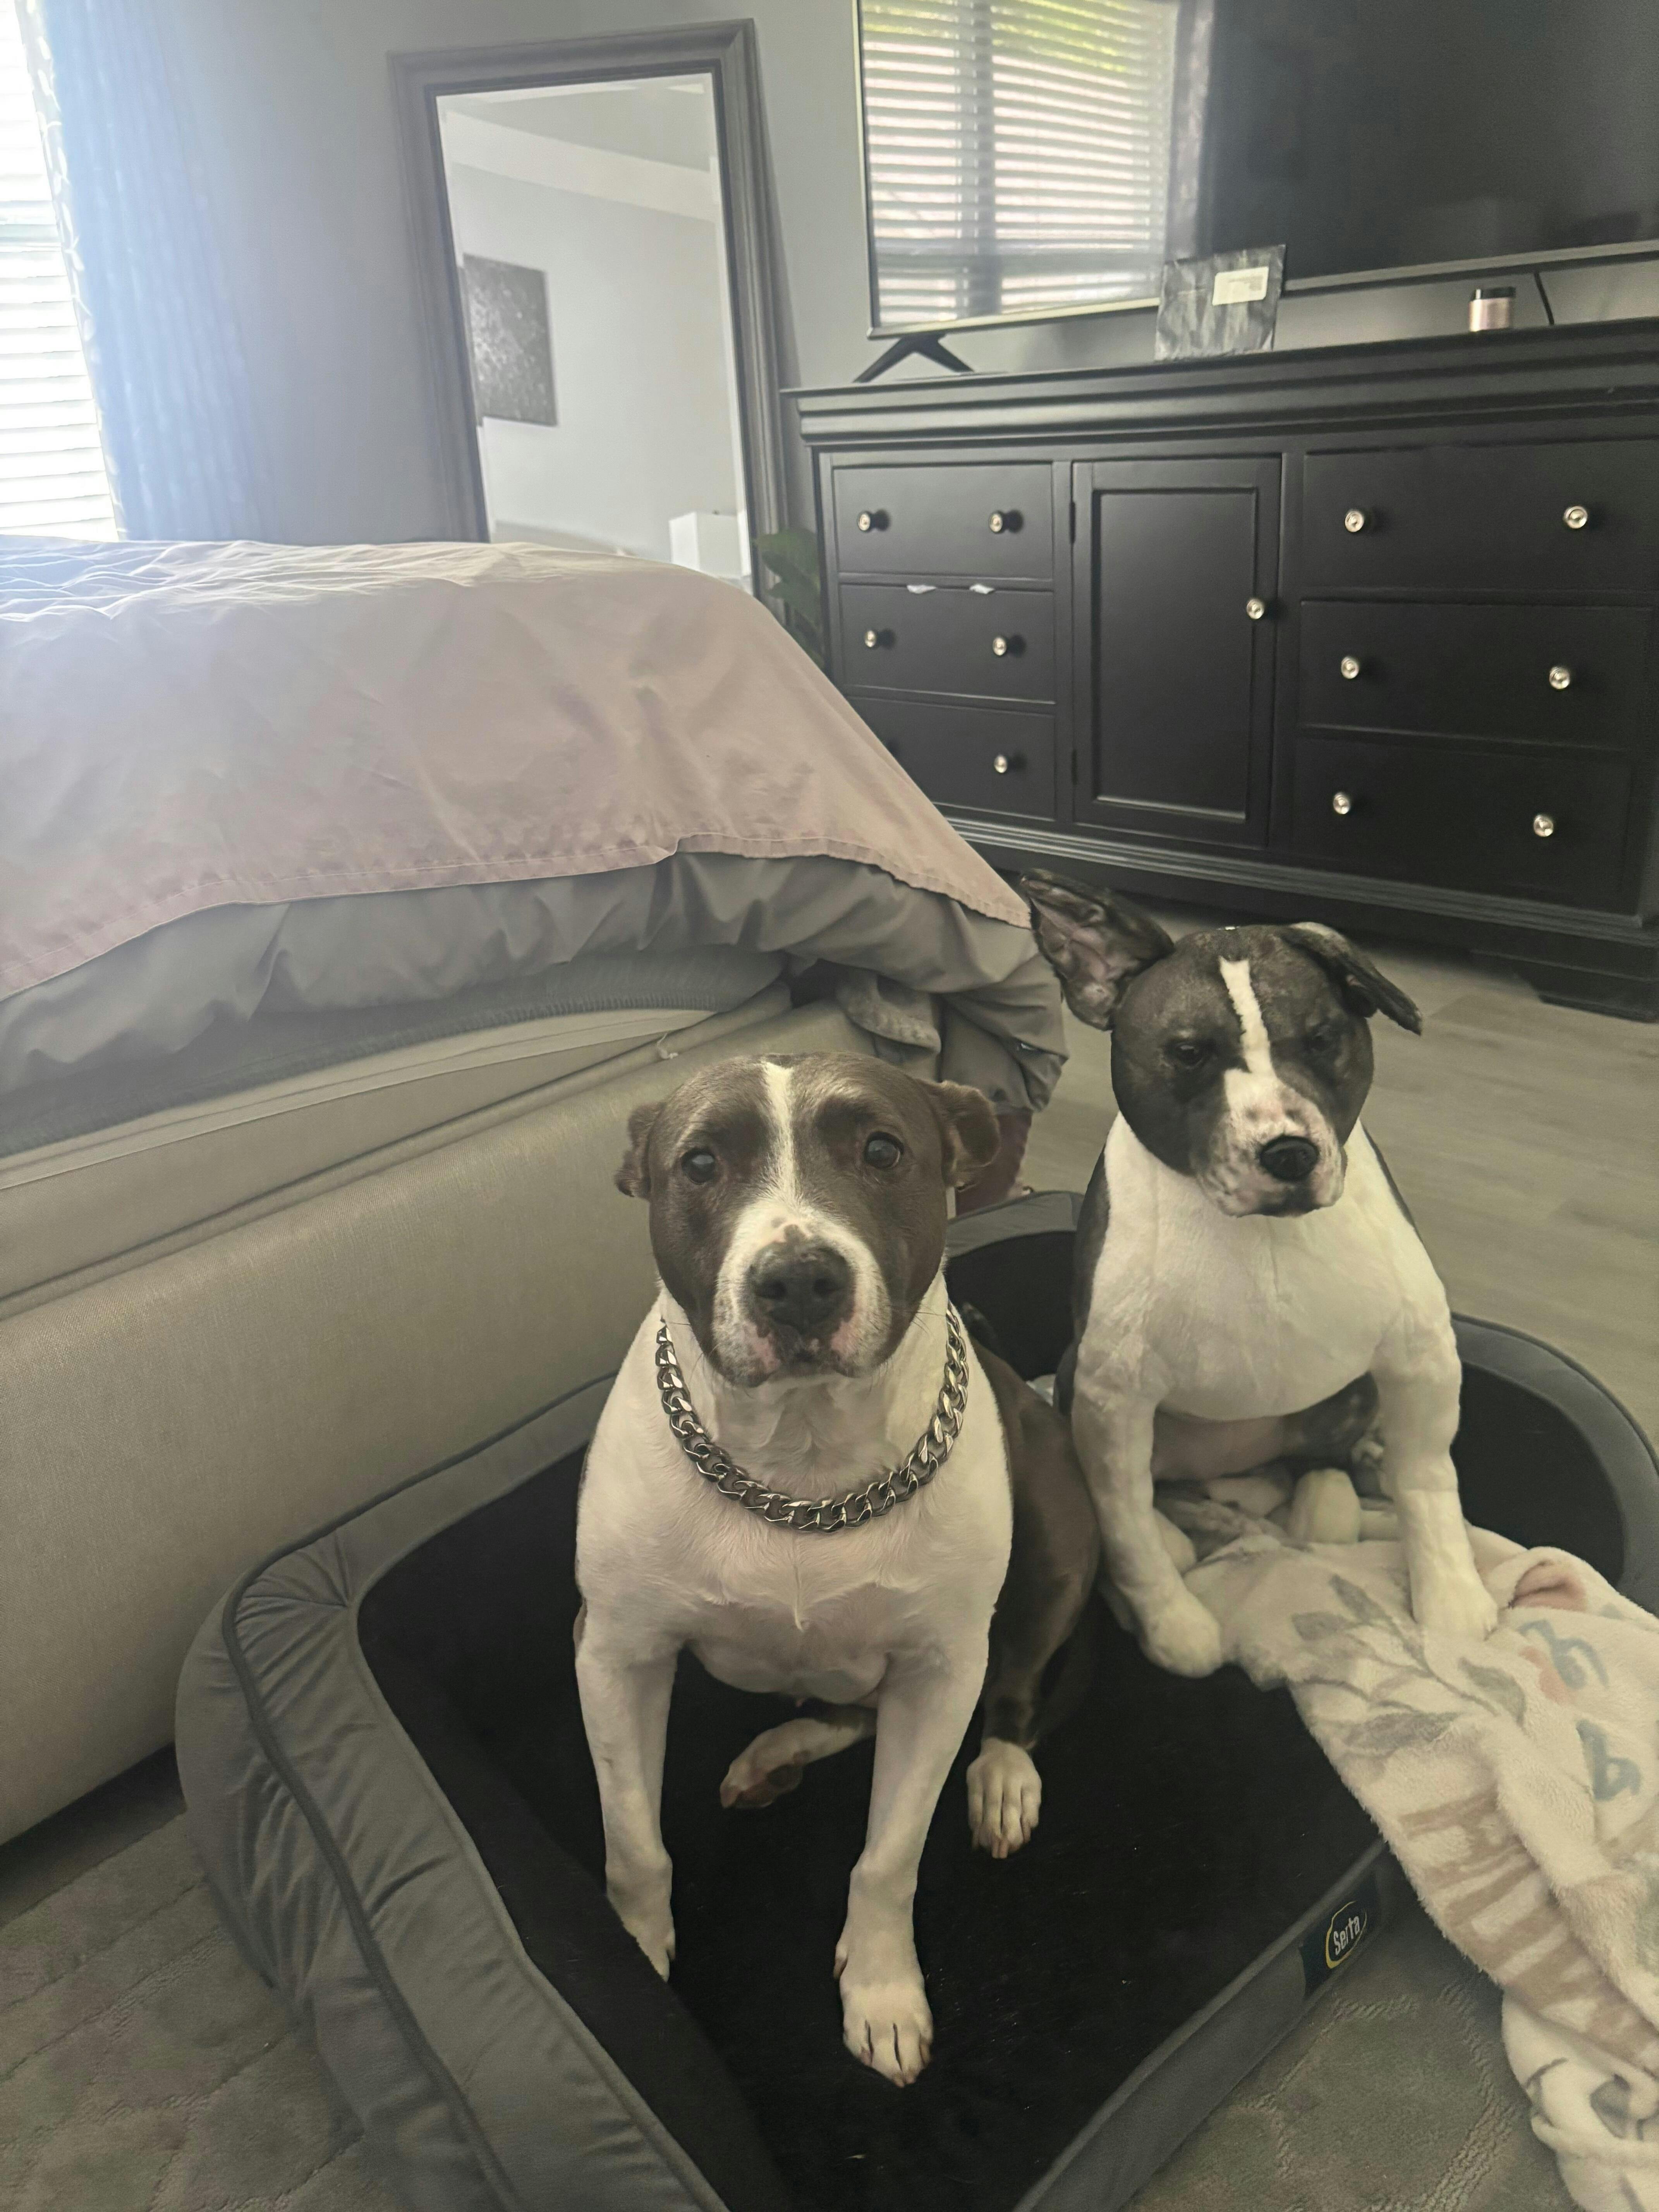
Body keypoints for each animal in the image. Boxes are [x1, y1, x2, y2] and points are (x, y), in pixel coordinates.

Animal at [574, 1052, 1097, 2085]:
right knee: (848, 1712)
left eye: (883, 1151)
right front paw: (636, 1954)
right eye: (700, 1163)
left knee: (1012, 1688)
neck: (801, 1470)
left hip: (1059, 1541)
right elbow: (633, 1841)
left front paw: (884, 1992)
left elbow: (889, 1858)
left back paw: (1000, 1776)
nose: (799, 1281)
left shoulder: (940, 1676)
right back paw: (775, 1754)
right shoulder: (614, 1654)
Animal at [1021, 873, 1499, 1679]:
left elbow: (1427, 1478)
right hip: (1074, 1373)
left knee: (1314, 1460)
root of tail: (1237, 1462)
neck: (1260, 1236)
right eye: (1187, 1052)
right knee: (1160, 1495)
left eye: (1322, 1038)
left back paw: (1326, 1494)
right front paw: (1169, 1618)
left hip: (1349, 1392)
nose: (1287, 1153)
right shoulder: (1111, 1401)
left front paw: (1448, 1591)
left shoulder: (1419, 1355)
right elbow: (1124, 1522)